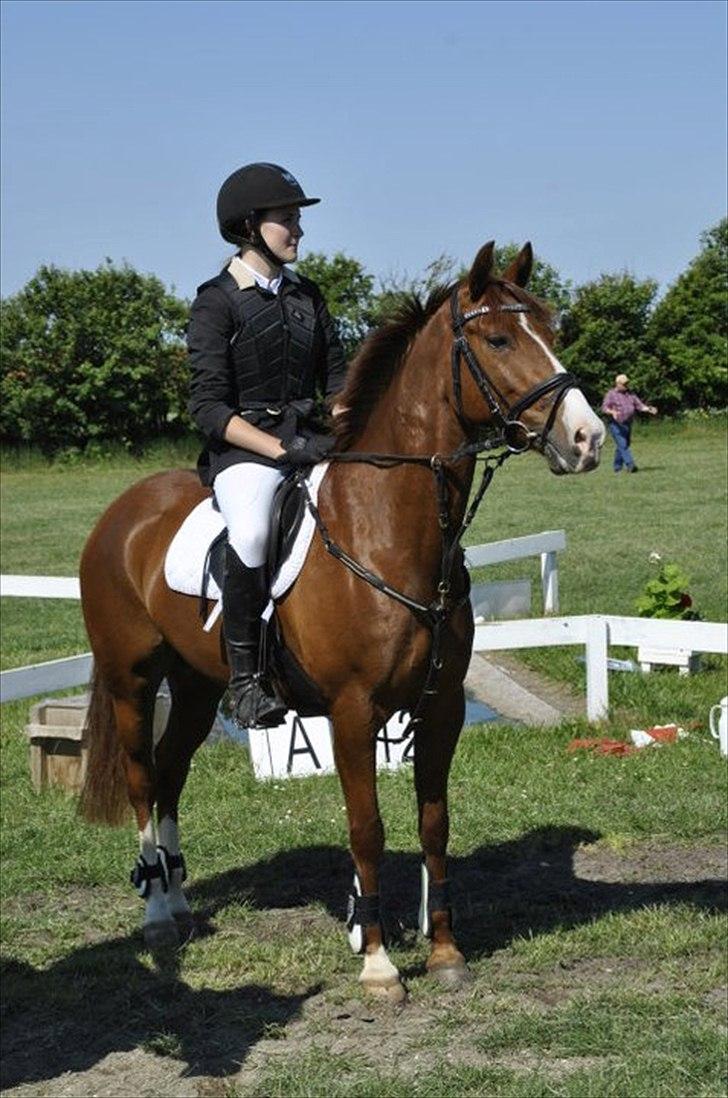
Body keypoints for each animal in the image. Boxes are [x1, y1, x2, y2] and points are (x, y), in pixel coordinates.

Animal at [78, 241, 605, 1002]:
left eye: (551, 330)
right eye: (500, 339)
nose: (588, 438)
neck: (386, 529)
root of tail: (121, 513)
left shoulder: (441, 706)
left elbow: (434, 825)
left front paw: (445, 952)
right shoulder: (353, 712)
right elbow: (368, 829)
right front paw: (379, 963)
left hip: (201, 687)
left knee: (173, 773)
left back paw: (177, 904)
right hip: (132, 682)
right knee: (146, 781)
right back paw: (154, 916)